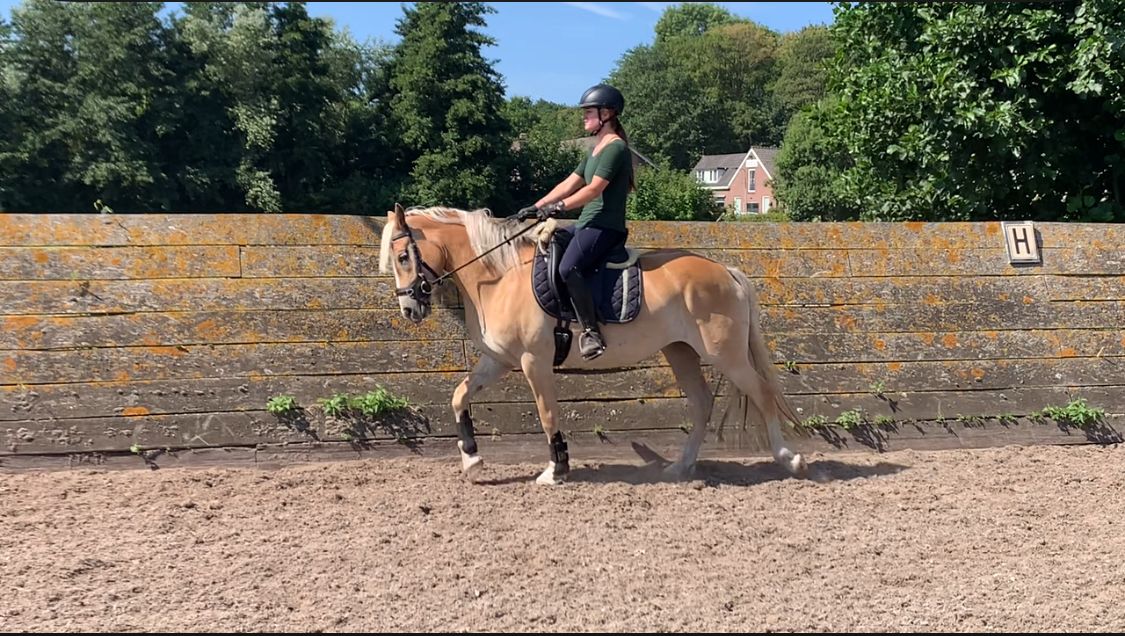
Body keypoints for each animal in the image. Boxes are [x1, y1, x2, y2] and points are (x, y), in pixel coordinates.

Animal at [379, 203, 808, 485]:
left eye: (403, 256)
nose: (409, 308)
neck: (499, 277)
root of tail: (726, 270)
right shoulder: (497, 359)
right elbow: (459, 396)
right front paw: (471, 460)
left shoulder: (534, 361)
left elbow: (547, 414)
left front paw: (556, 469)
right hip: (681, 351)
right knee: (702, 403)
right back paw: (681, 467)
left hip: (725, 353)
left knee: (762, 393)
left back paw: (790, 459)